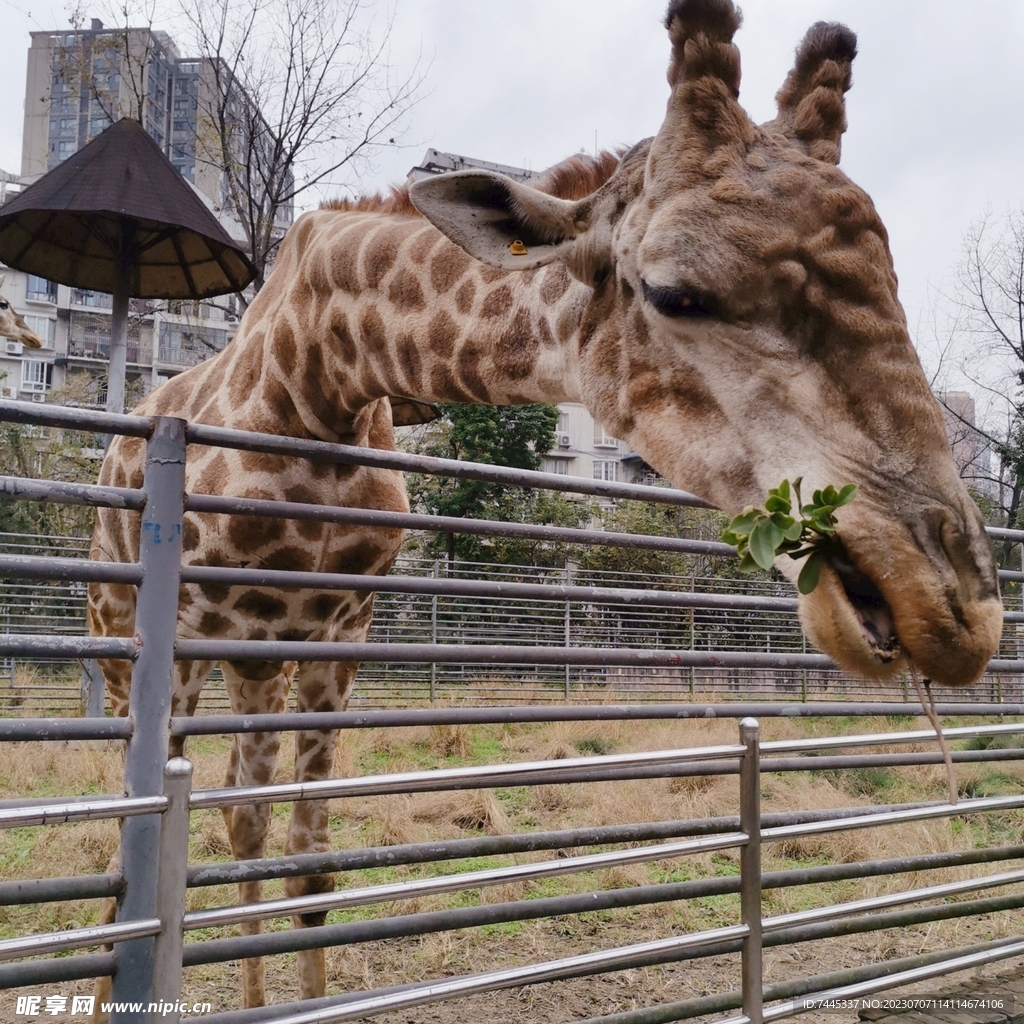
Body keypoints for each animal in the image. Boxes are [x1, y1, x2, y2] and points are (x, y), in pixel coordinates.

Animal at [88, 0, 999, 1007]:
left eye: (892, 282)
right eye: (676, 293)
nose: (956, 608)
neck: (316, 382)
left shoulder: (337, 634)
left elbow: (309, 859)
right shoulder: (219, 630)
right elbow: (207, 838)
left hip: (254, 661)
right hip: (129, 633)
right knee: (146, 814)